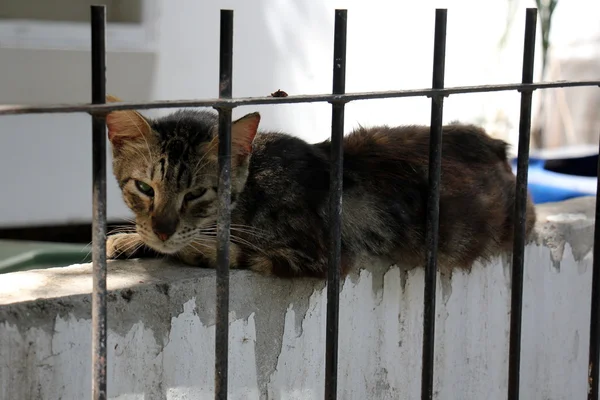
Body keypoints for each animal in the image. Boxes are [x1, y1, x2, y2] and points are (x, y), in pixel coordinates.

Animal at [105, 97, 536, 278]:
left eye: (196, 194)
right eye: (144, 188)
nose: (162, 229)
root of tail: (498, 146)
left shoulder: (320, 255)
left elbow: (239, 252)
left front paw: (198, 248)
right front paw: (131, 238)